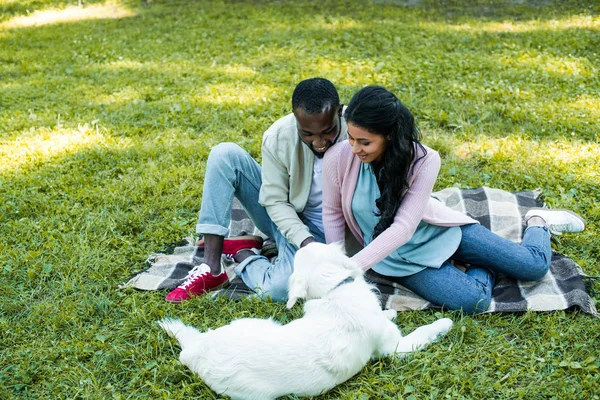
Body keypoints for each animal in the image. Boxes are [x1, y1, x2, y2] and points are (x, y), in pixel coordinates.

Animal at [159, 241, 450, 400]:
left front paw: (389, 312)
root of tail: (195, 350)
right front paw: (443, 324)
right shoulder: (395, 349)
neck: (334, 291)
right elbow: (421, 333)